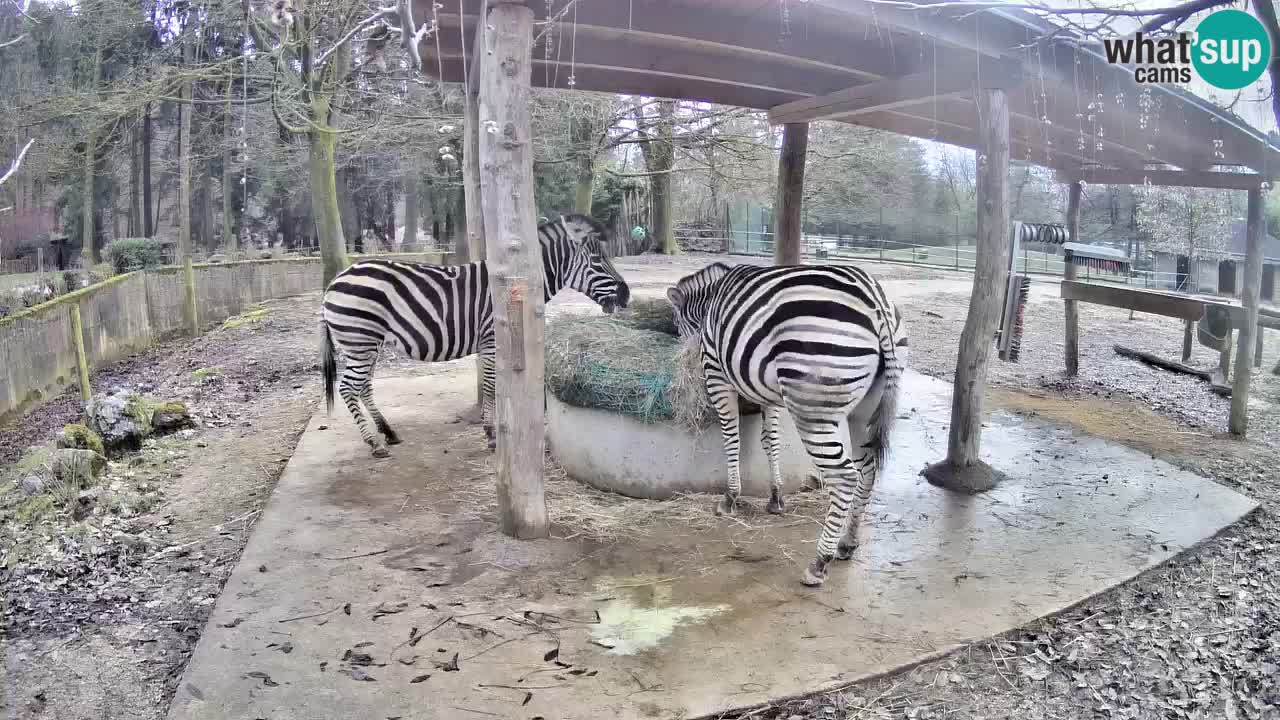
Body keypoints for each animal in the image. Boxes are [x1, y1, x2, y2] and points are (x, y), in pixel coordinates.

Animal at [320, 212, 629, 456]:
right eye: (598, 260)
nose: (627, 295)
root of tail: (336, 280)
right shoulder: (492, 338)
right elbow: (492, 385)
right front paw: (491, 434)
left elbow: (491, 383)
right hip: (360, 340)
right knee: (348, 387)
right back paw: (374, 443)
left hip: (367, 343)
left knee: (364, 386)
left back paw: (388, 432)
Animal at [670, 260, 911, 586]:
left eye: (676, 322)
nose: (681, 347)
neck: (712, 300)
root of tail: (877, 302)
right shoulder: (765, 388)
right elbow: (770, 440)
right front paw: (775, 498)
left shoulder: (716, 373)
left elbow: (731, 437)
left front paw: (730, 498)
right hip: (864, 409)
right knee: (868, 471)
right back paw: (847, 543)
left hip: (812, 405)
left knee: (844, 476)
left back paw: (819, 562)